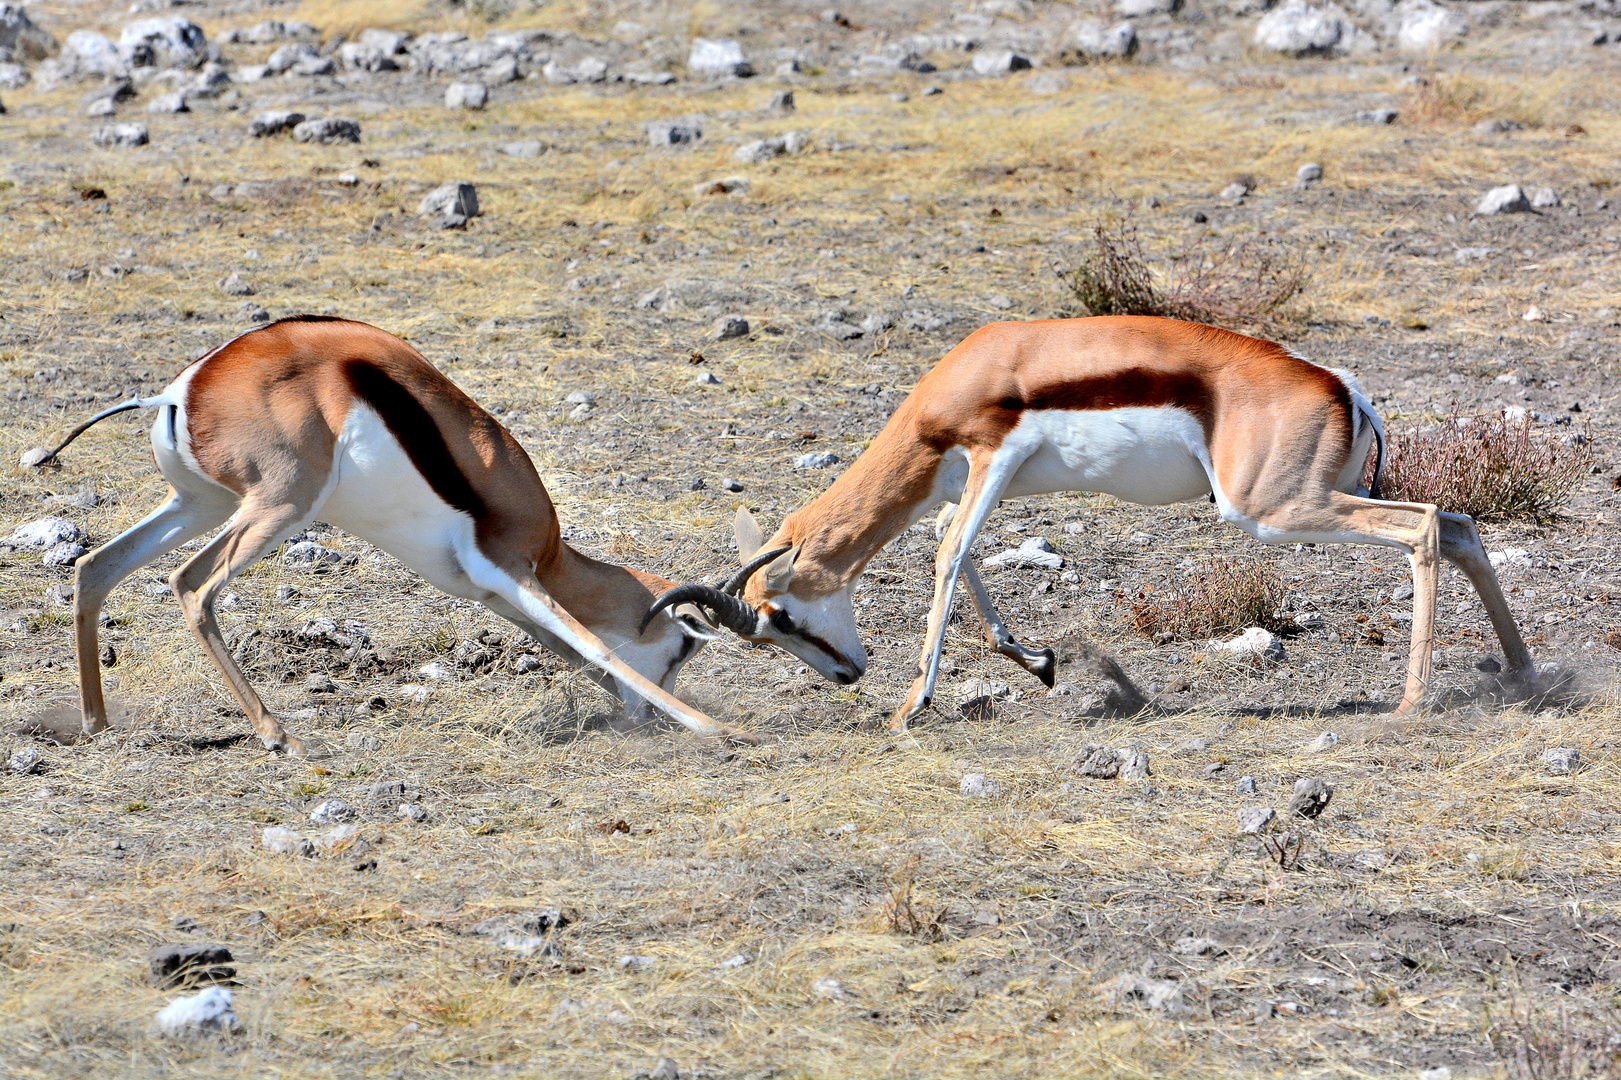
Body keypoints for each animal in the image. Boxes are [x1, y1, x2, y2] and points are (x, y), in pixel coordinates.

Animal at [31, 312, 752, 749]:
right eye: (681, 651)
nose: (647, 715)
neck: (547, 549)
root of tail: (185, 388)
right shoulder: (510, 570)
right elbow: (595, 645)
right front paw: (717, 728)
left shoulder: (494, 592)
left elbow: (575, 650)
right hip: (279, 507)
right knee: (191, 585)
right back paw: (279, 733)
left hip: (200, 504)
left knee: (94, 567)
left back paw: (95, 722)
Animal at [645, 312, 1530, 732]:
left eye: (781, 618)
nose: (846, 676)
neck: (958, 385)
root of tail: (1337, 384)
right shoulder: (968, 482)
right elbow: (955, 550)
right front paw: (1036, 662)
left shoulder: (992, 455)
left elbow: (945, 557)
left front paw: (910, 706)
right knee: (1459, 527)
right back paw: (1522, 675)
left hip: (1270, 510)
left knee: (1422, 528)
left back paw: (1410, 705)